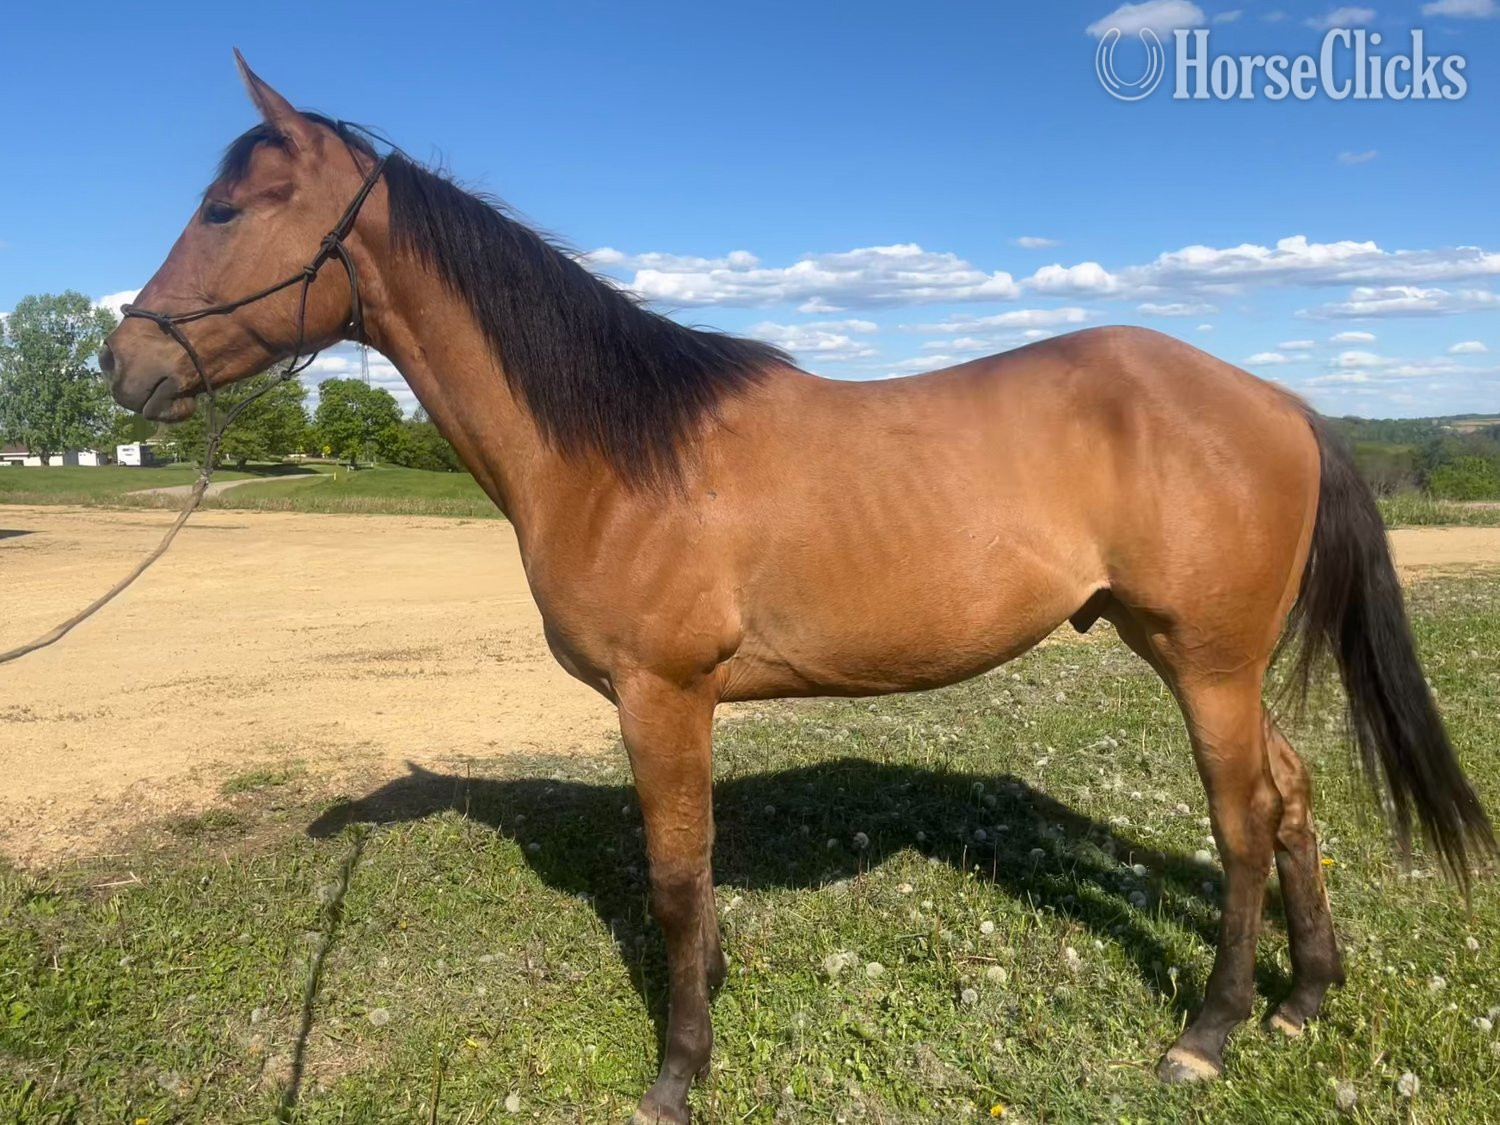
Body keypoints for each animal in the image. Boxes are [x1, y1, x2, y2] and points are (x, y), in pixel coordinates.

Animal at [101, 53, 1494, 1124]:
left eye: (224, 210)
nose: (122, 362)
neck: (615, 448)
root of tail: (1281, 401)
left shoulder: (662, 696)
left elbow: (675, 879)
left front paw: (679, 1072)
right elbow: (690, 879)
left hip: (1205, 663)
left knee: (1244, 822)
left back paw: (1208, 1032)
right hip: (1203, 657)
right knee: (1292, 796)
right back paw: (1305, 998)